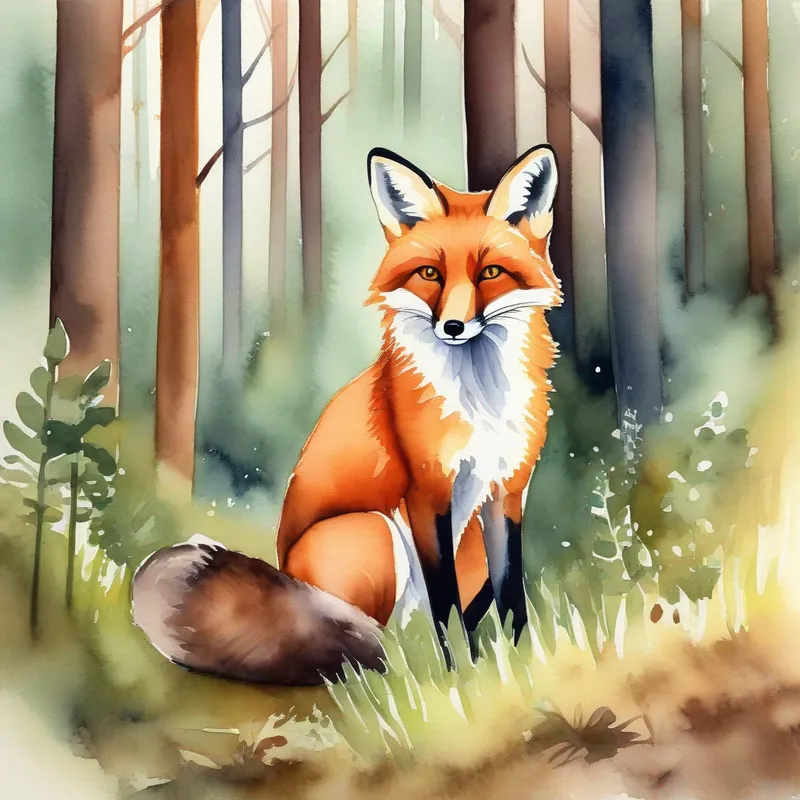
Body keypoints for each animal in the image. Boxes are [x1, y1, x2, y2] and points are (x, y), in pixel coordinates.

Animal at [131, 144, 562, 686]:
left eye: (490, 273)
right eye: (430, 274)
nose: (453, 326)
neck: (480, 398)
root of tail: (285, 570)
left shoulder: (507, 490)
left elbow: (511, 595)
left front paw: (522, 665)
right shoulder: (427, 491)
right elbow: (445, 606)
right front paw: (459, 676)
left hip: (464, 553)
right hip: (374, 530)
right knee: (387, 646)